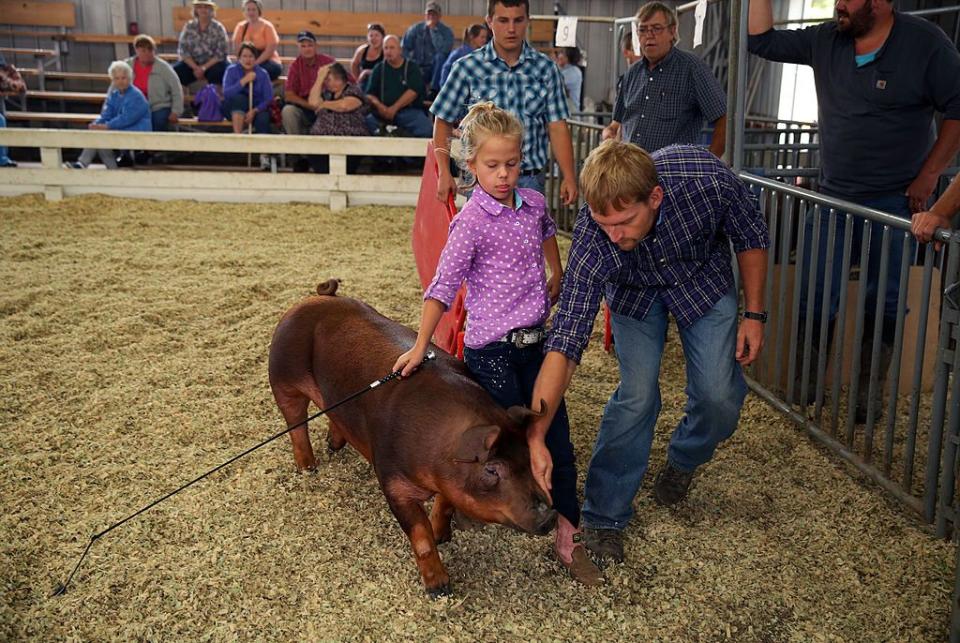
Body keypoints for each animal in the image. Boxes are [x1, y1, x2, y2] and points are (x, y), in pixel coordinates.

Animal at [268, 282, 556, 600]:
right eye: (492, 469)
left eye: (528, 457)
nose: (550, 517)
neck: (439, 450)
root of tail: (314, 298)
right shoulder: (392, 481)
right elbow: (420, 536)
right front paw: (440, 589)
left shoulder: (449, 481)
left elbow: (445, 506)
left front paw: (443, 536)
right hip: (282, 378)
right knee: (296, 426)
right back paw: (309, 467)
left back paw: (334, 446)